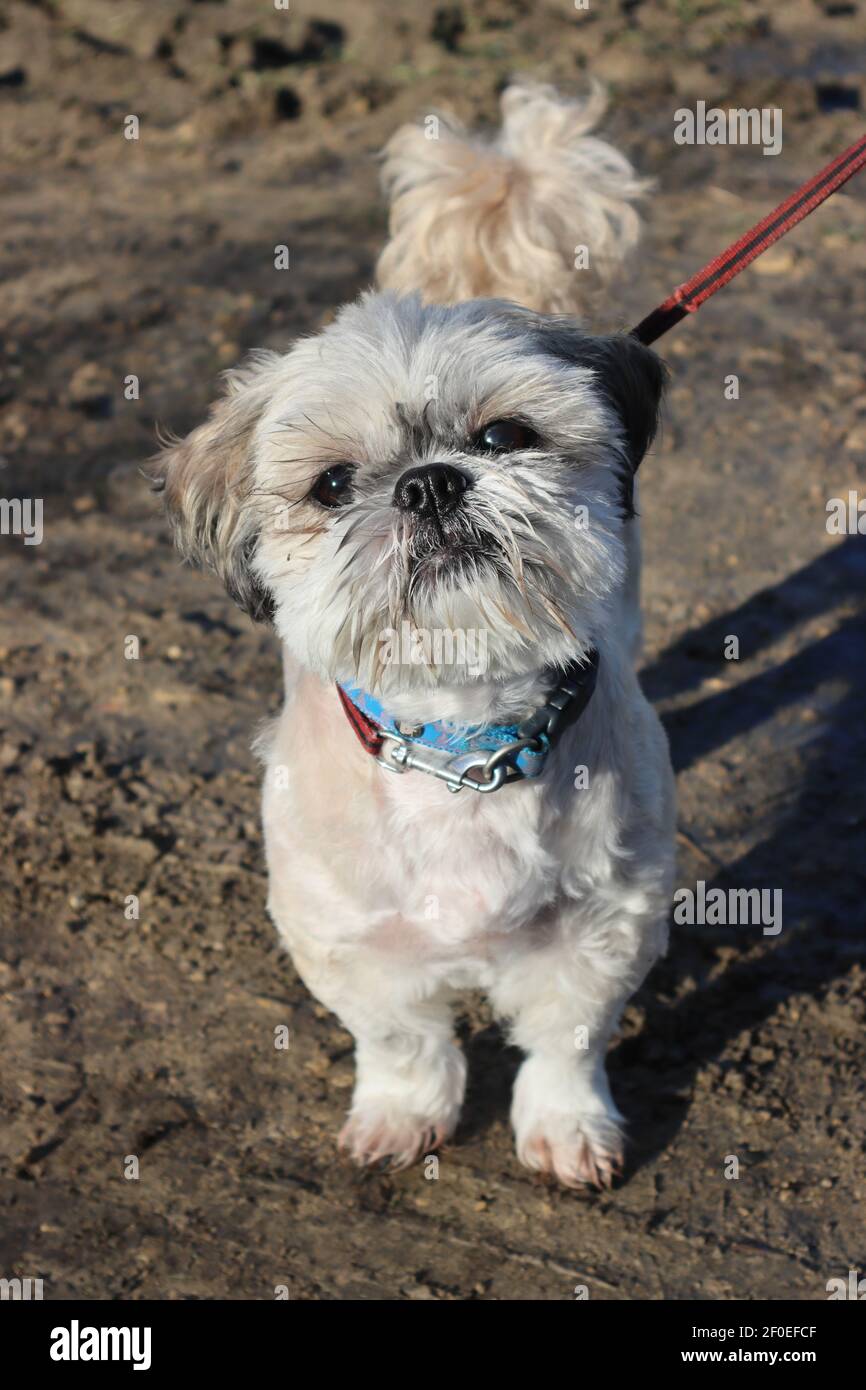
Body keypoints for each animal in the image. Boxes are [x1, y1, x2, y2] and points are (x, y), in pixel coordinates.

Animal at [155, 84, 678, 1184]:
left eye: (503, 437)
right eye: (332, 485)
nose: (430, 482)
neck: (464, 742)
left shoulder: (604, 924)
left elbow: (565, 1041)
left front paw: (566, 1126)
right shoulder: (346, 938)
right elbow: (402, 1038)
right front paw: (404, 1114)